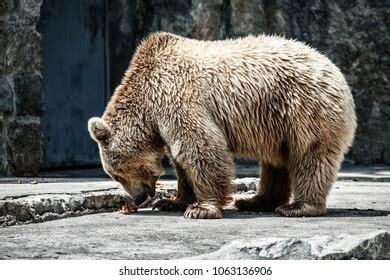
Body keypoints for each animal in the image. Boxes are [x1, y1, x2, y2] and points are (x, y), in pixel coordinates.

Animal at [88, 32, 356, 219]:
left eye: (116, 175)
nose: (140, 198)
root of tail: (335, 70)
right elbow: (181, 162)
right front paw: (172, 201)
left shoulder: (177, 98)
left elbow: (200, 146)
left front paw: (200, 209)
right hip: (277, 124)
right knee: (275, 163)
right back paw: (255, 201)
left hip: (304, 109)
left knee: (310, 156)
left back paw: (298, 206)